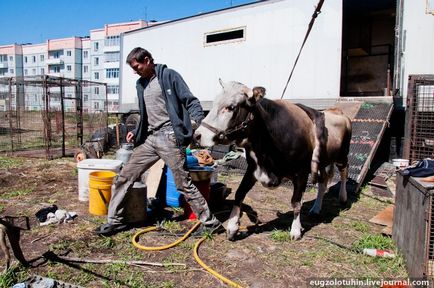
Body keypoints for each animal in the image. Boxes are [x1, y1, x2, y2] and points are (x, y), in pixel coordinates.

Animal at [195, 80, 350, 240]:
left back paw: (343, 197)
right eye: (214, 102)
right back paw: (316, 208)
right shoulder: (253, 168)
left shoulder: (301, 173)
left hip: (342, 155)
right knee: (323, 182)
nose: (197, 135)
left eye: (231, 107)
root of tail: (337, 111)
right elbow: (239, 193)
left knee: (344, 172)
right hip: (324, 162)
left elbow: (296, 202)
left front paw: (295, 230)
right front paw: (232, 226)